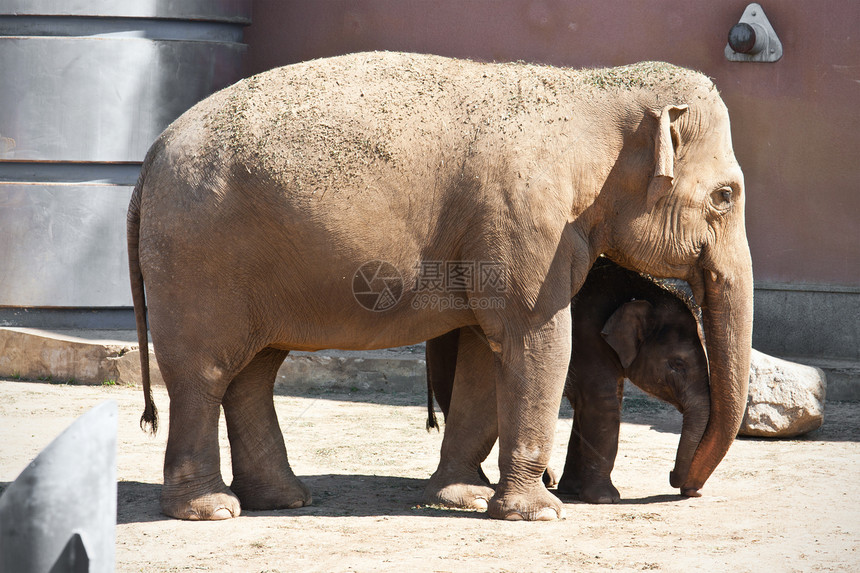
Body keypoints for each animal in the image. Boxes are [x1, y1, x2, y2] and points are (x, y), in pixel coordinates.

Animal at [426, 256, 708, 502]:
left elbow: (588, 408)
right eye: (678, 364)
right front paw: (605, 499)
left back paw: (545, 481)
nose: (685, 487)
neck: (638, 288)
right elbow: (603, 405)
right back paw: (481, 483)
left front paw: (571, 489)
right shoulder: (588, 339)